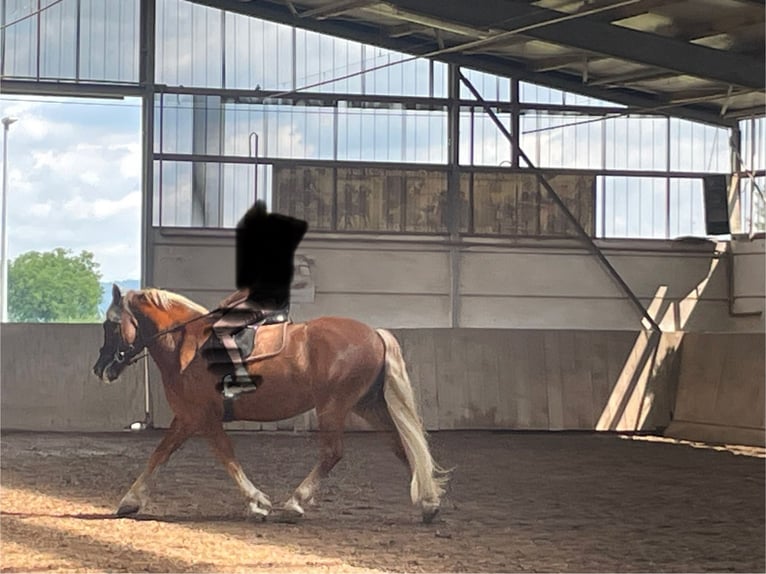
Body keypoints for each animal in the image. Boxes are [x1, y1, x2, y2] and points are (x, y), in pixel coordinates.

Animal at [92, 284, 448, 523]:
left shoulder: (202, 416)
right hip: (367, 406)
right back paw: (429, 503)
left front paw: (258, 503)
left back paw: (294, 504)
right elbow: (160, 454)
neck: (185, 344)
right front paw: (130, 501)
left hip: (333, 405)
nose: (100, 369)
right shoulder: (187, 417)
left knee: (333, 453)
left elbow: (224, 457)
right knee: (402, 446)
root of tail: (374, 334)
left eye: (112, 324)